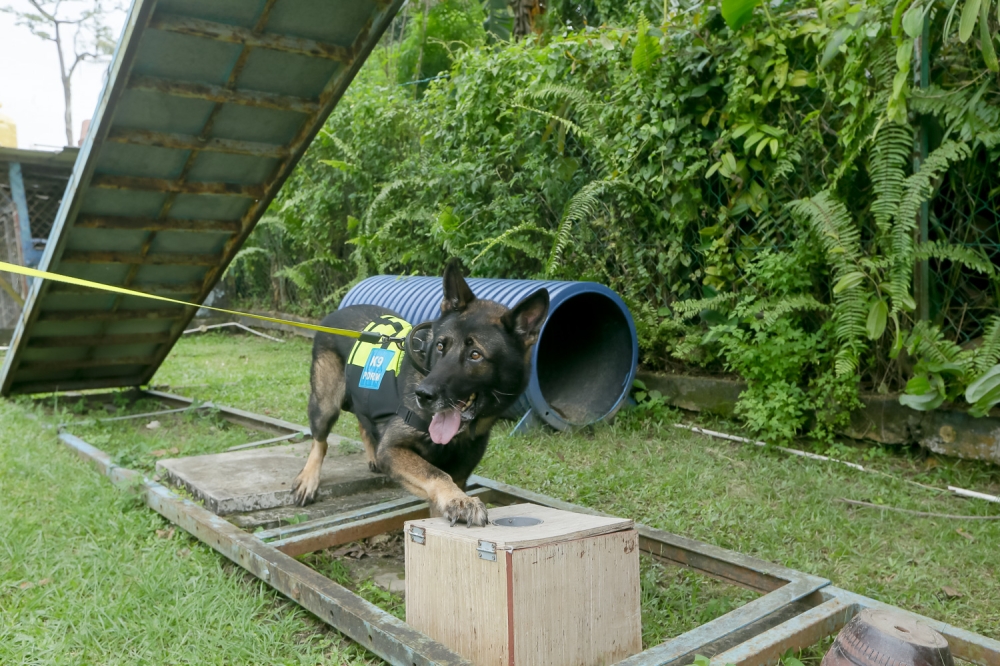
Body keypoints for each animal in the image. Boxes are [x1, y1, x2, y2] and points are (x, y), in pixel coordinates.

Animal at [292, 260, 552, 524]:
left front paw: (455, 500)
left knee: (363, 423)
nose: (423, 395)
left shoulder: (458, 476)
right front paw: (461, 500)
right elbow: (435, 474)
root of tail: (333, 314)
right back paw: (308, 479)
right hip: (326, 404)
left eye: (475, 355)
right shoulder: (394, 450)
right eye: (440, 346)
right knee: (320, 441)